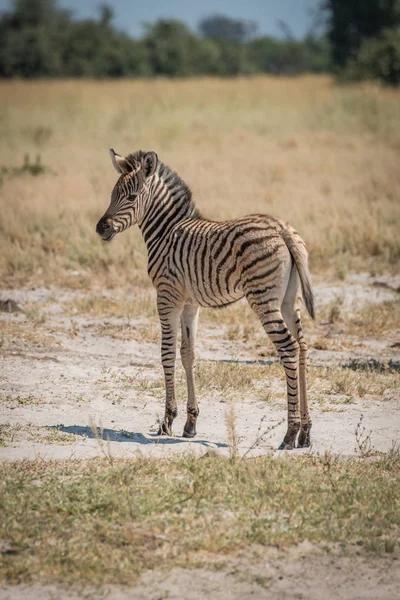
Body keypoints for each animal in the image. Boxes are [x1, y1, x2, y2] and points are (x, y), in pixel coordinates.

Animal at [97, 150, 316, 450]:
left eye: (130, 197)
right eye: (112, 194)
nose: (100, 228)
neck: (166, 230)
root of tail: (281, 228)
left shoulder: (167, 296)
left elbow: (167, 353)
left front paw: (168, 420)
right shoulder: (190, 303)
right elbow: (188, 354)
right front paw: (190, 422)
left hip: (263, 299)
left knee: (289, 348)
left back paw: (290, 433)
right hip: (289, 300)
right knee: (303, 348)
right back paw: (305, 432)